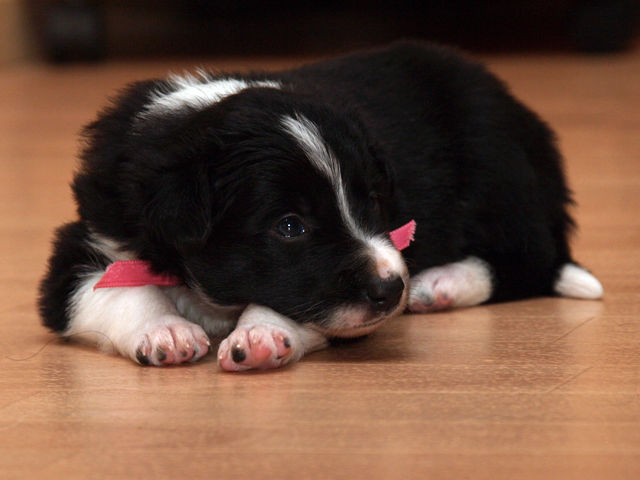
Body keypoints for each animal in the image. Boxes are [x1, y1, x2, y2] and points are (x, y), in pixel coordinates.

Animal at [39, 41, 603, 371]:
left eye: (371, 199)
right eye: (290, 226)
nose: (390, 290)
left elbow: (293, 302)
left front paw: (261, 335)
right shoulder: (87, 239)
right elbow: (113, 290)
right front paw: (166, 330)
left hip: (498, 174)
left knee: (531, 259)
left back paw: (439, 284)